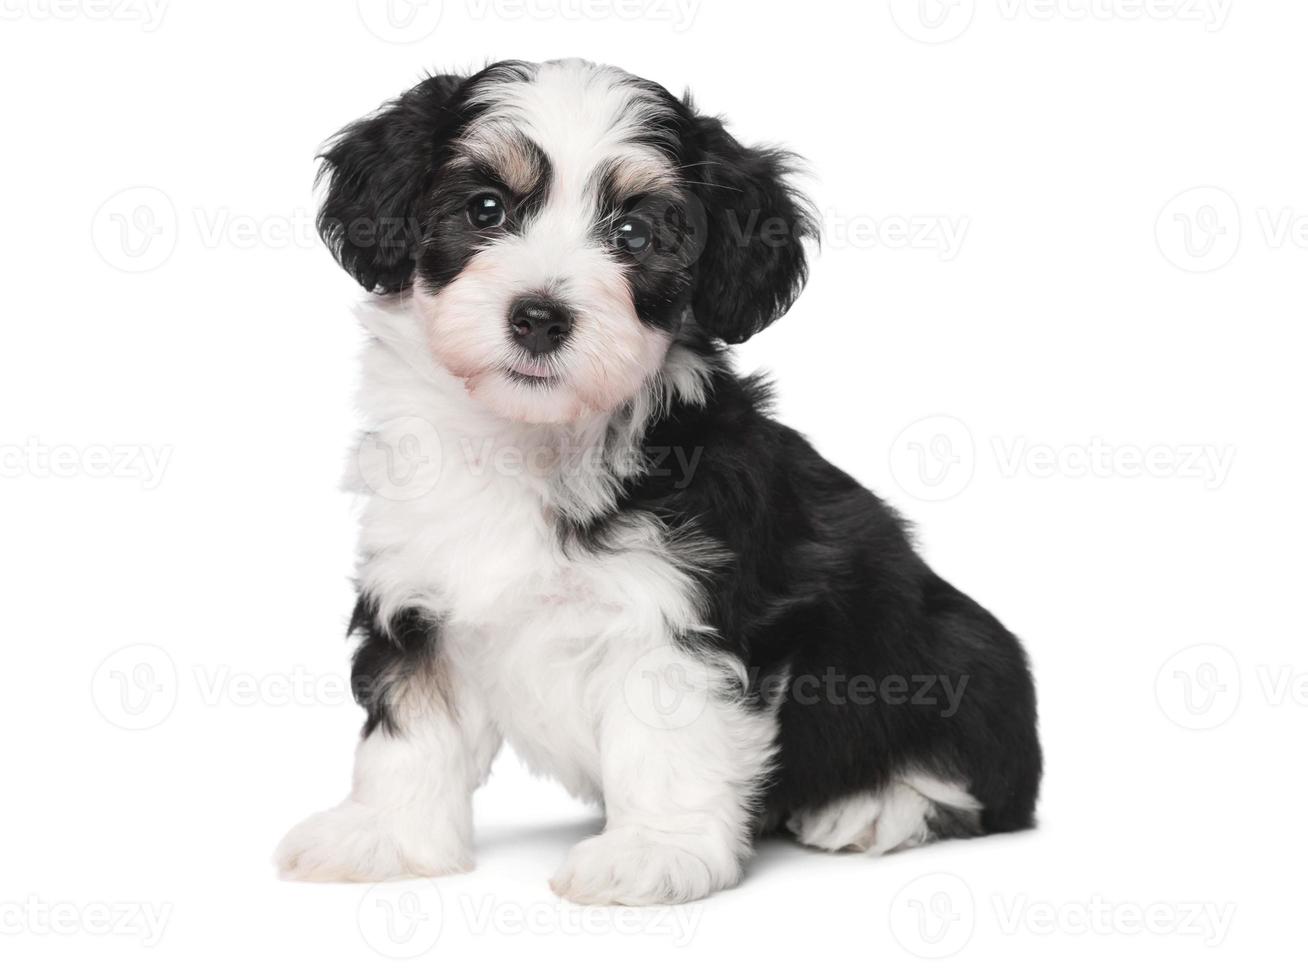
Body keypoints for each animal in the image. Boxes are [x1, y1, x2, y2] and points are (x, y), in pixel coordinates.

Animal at [273, 59, 1041, 900]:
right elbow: (413, 725)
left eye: (635, 234)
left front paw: (652, 852)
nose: (538, 317)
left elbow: (665, 738)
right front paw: (386, 834)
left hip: (957, 653)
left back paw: (876, 806)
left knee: (976, 772)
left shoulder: (682, 608)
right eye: (485, 208)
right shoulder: (417, 589)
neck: (531, 442)